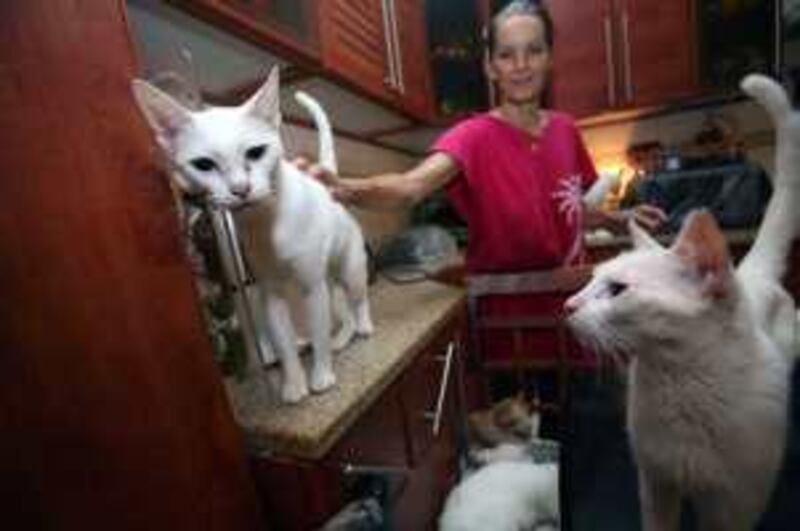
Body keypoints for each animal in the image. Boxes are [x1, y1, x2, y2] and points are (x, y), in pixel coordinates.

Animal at [132, 68, 376, 406]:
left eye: (256, 152)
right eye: (203, 164)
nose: (240, 189)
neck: (265, 223)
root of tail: (327, 189)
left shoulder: (311, 288)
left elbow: (317, 334)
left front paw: (321, 376)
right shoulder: (271, 293)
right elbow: (285, 346)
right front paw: (294, 385)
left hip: (349, 271)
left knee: (359, 300)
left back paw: (363, 327)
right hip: (327, 281)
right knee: (342, 311)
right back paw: (341, 338)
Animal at [564, 71, 800, 531]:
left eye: (617, 290)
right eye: (591, 280)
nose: (567, 305)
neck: (682, 387)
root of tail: (751, 273)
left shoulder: (734, 506)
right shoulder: (656, 486)